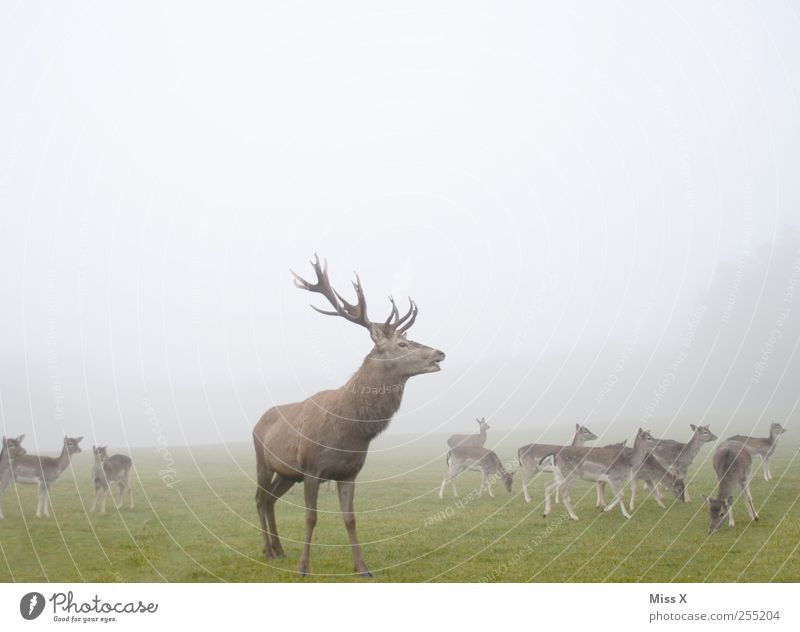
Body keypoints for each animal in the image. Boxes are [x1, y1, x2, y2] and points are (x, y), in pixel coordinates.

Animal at [253, 256, 444, 576]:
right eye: (402, 344)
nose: (440, 353)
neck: (350, 429)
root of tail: (257, 422)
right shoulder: (312, 469)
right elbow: (311, 518)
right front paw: (303, 568)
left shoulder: (350, 473)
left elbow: (350, 519)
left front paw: (363, 567)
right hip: (263, 461)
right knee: (258, 498)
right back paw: (268, 550)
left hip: (287, 472)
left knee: (269, 500)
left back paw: (279, 550)